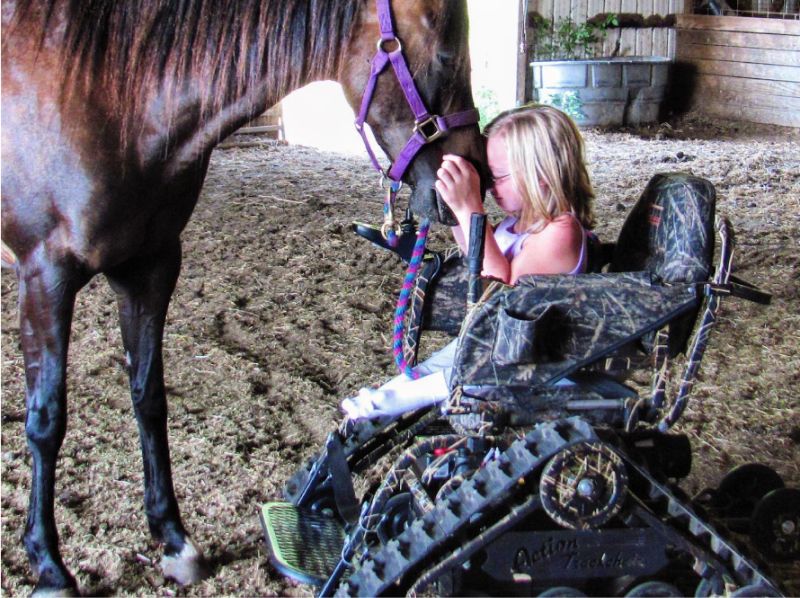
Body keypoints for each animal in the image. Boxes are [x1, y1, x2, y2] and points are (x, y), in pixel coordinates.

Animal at [0, 1, 484, 596]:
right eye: (446, 55)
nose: (477, 174)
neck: (110, 96)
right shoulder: (45, 276)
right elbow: (46, 421)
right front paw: (49, 565)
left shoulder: (150, 269)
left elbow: (148, 398)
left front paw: (173, 538)